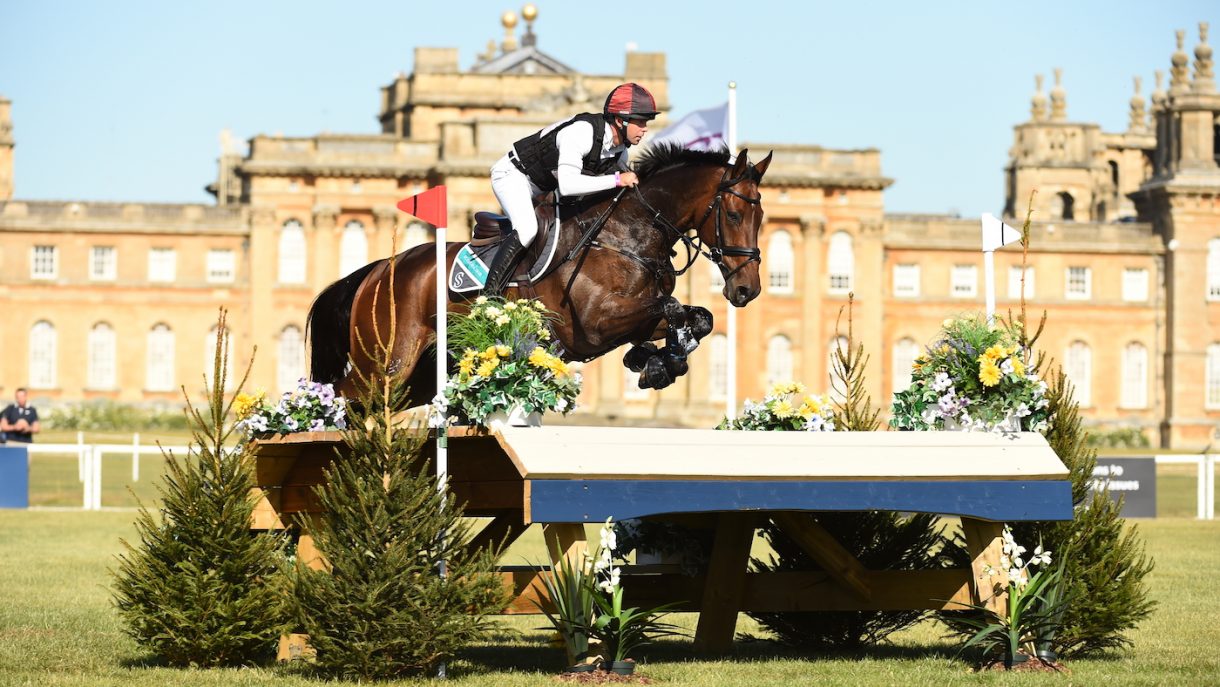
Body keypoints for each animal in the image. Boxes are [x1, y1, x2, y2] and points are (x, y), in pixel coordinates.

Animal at [306, 145, 773, 407]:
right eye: (733, 215)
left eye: (762, 217)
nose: (747, 289)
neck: (628, 234)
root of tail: (377, 270)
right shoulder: (596, 325)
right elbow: (672, 307)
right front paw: (657, 362)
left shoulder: (633, 318)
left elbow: (695, 317)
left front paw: (659, 362)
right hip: (386, 363)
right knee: (344, 397)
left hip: (418, 375)